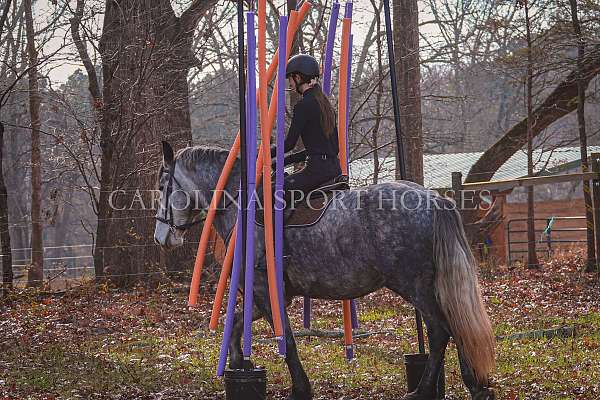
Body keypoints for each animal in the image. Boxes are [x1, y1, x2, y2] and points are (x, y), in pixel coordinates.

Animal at [154, 142, 496, 398]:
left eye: (161, 186)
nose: (161, 238)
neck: (241, 205)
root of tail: (434, 199)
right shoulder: (269, 294)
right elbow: (238, 321)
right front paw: (240, 363)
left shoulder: (265, 290)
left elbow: (287, 340)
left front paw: (300, 390)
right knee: (454, 324)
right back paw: (474, 385)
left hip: (415, 285)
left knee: (440, 331)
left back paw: (427, 390)